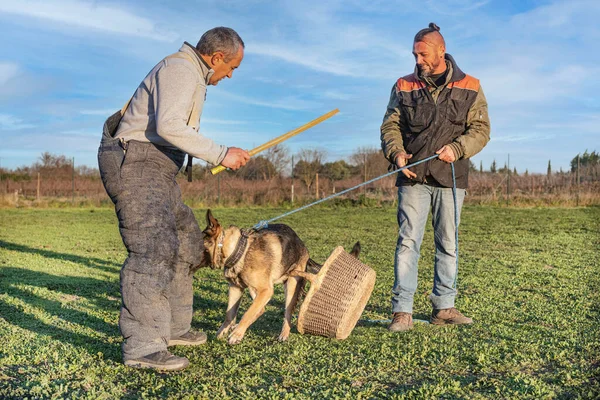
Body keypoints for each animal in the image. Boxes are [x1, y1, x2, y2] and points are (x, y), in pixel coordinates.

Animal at [204, 209, 358, 344]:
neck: (239, 249)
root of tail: (303, 246)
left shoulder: (266, 290)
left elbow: (248, 313)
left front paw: (236, 335)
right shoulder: (236, 288)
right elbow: (230, 314)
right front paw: (223, 331)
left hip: (290, 286)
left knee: (286, 313)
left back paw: (284, 334)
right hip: (256, 290)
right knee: (260, 309)